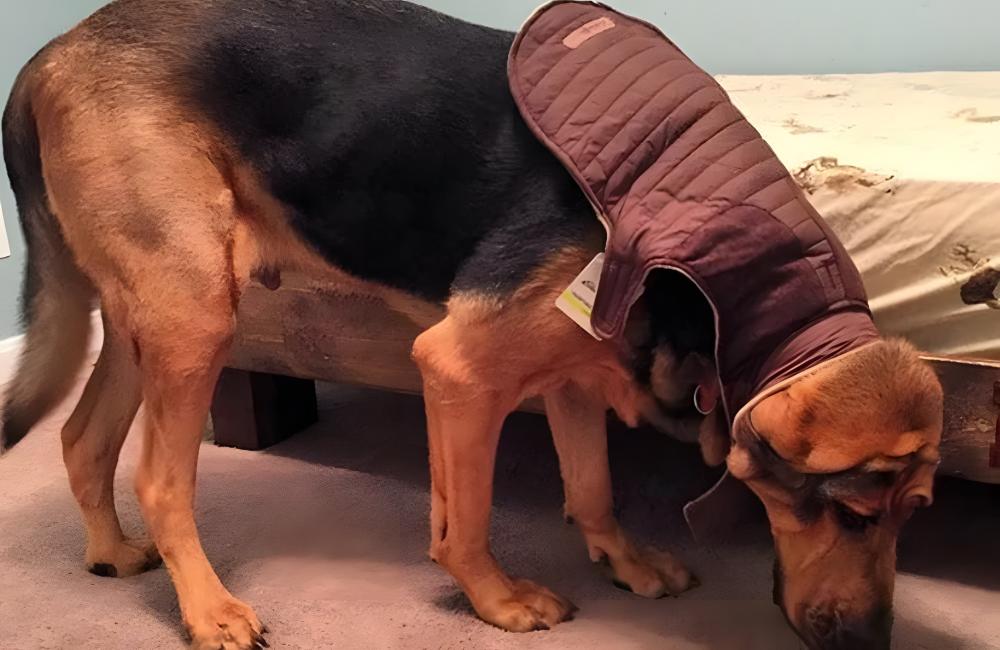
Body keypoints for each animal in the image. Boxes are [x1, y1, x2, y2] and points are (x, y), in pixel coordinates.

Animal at [0, 1, 942, 649]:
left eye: (913, 515)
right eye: (856, 517)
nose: (873, 643)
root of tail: (51, 52)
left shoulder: (575, 377)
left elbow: (593, 489)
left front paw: (625, 563)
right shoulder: (459, 370)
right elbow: (470, 518)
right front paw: (497, 601)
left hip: (146, 318)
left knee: (82, 439)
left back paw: (112, 554)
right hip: (195, 316)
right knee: (161, 480)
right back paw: (208, 610)